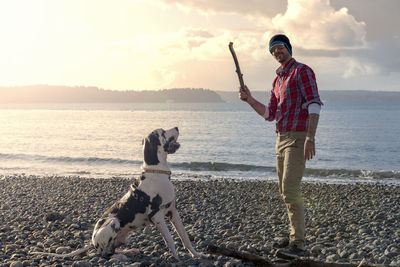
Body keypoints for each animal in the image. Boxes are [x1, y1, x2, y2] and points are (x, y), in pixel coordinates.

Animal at [32, 127, 203, 262]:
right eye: (162, 132)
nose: (177, 127)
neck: (157, 172)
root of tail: (92, 242)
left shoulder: (173, 211)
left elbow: (185, 237)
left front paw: (196, 254)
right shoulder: (157, 215)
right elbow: (170, 240)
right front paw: (177, 258)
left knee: (112, 249)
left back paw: (129, 251)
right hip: (113, 222)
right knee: (105, 255)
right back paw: (121, 256)